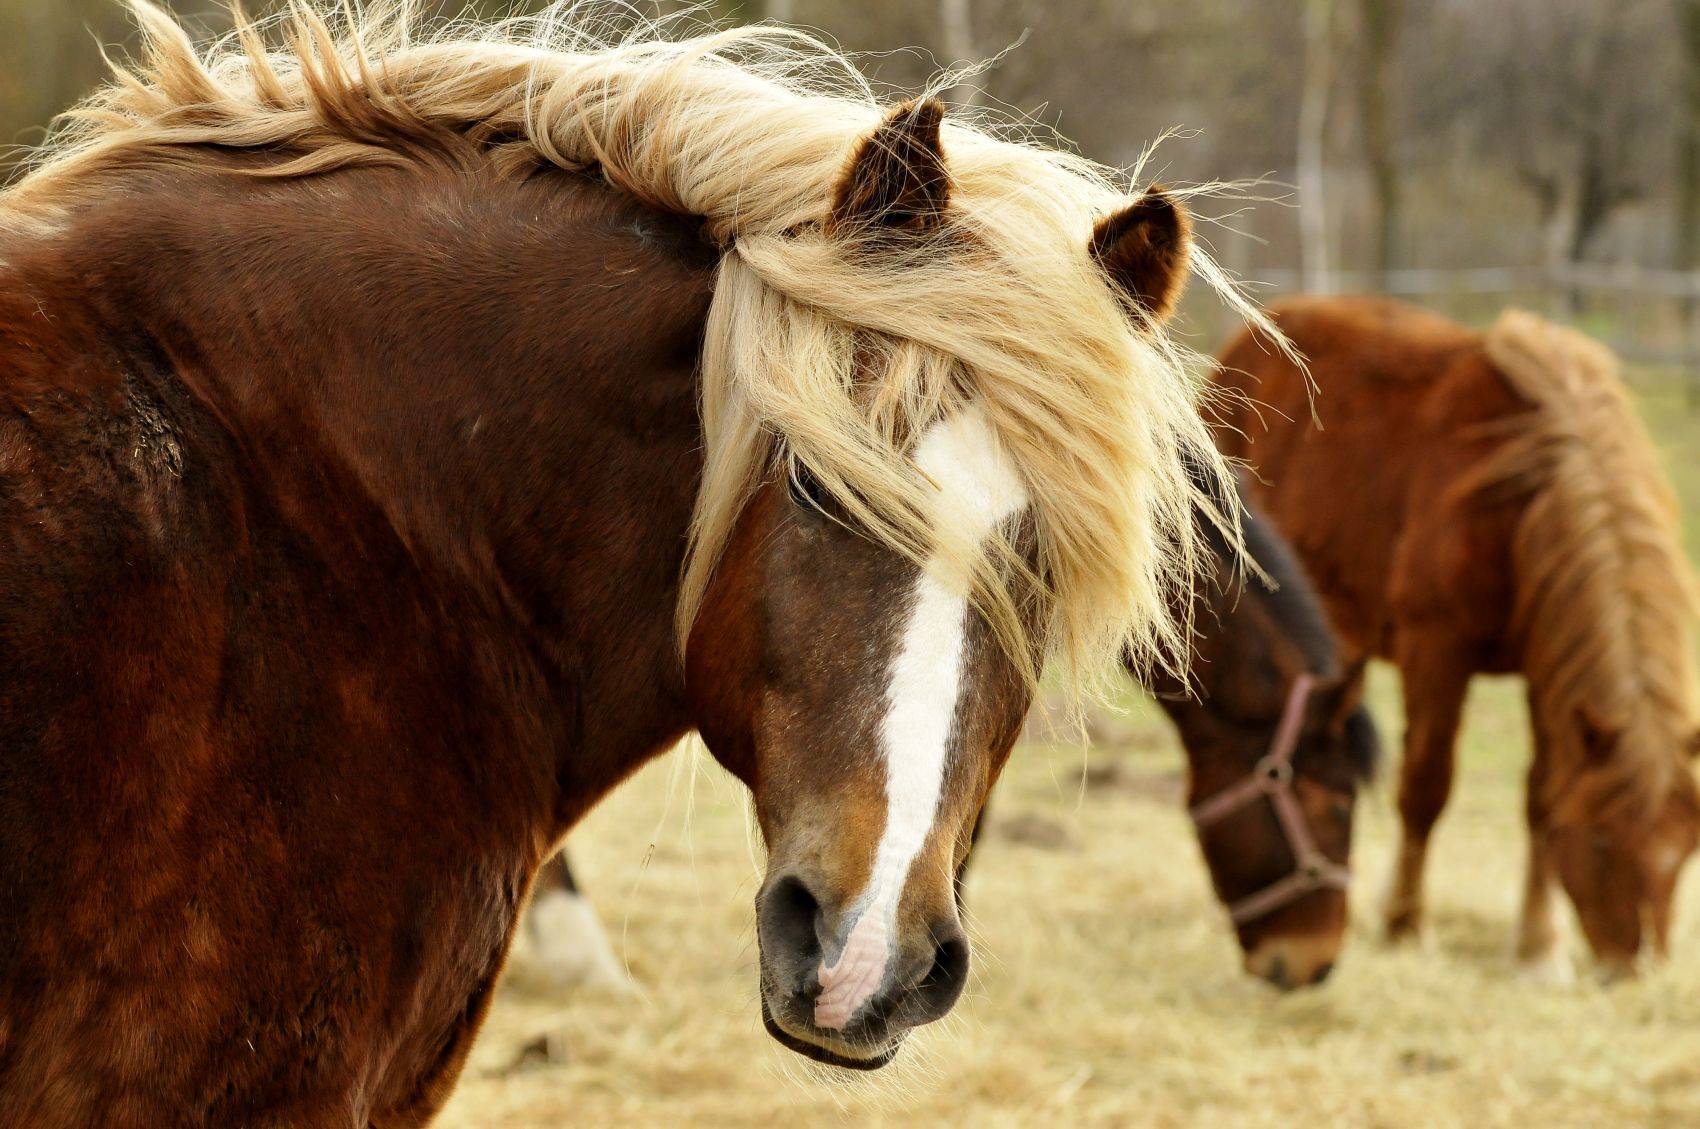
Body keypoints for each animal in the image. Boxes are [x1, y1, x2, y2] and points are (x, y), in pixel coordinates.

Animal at [1224, 292, 1700, 979]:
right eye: (1603, 843)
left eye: (1686, 848)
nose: (1631, 969)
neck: (1523, 504)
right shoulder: (1437, 652)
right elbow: (1426, 787)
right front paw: (1405, 924)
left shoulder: (1547, 672)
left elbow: (1541, 797)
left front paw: (1539, 947)